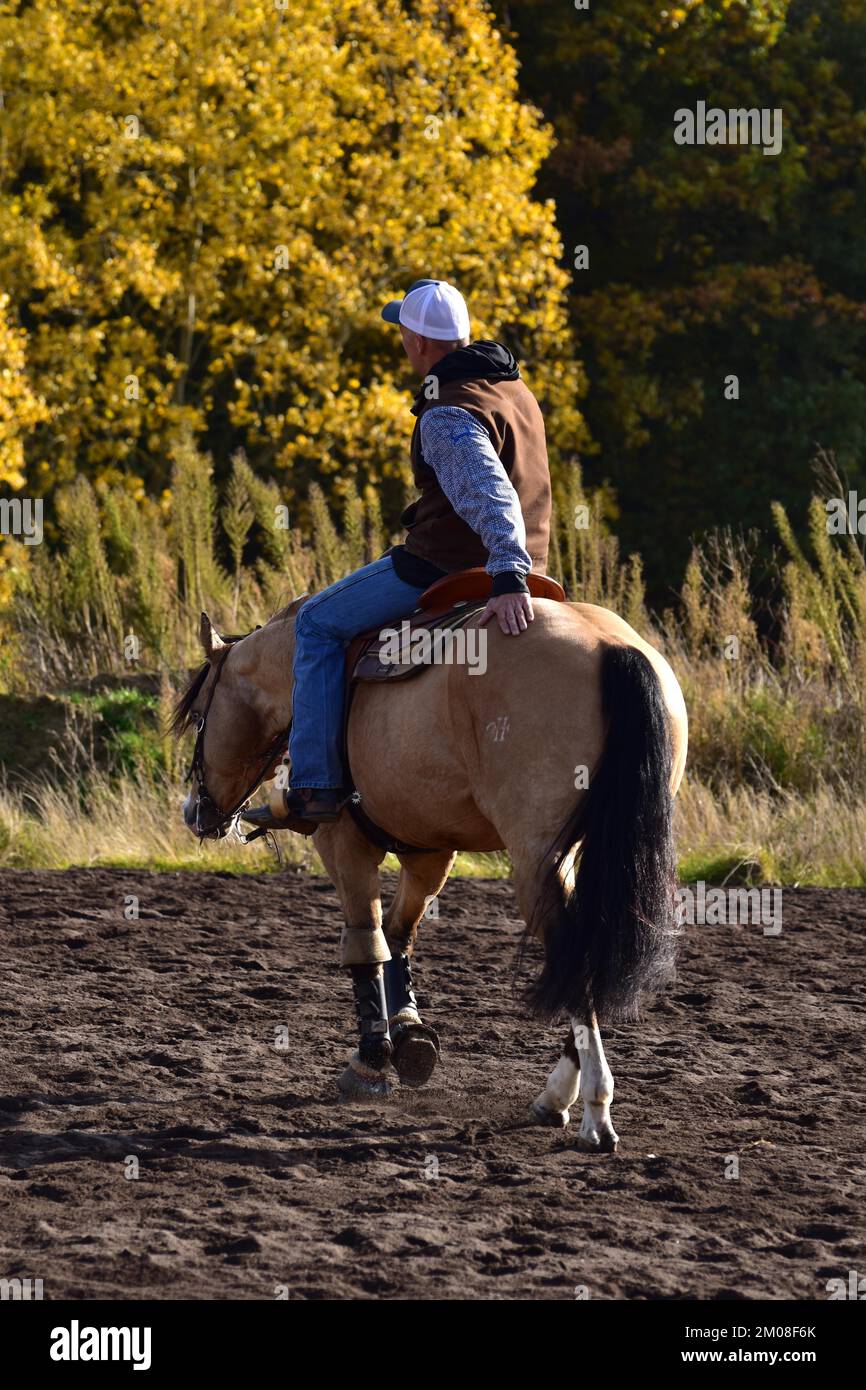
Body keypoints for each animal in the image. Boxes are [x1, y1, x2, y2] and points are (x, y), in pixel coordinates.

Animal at [172, 595, 688, 1152]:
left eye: (199, 717)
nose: (194, 811)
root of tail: (611, 647)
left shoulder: (344, 844)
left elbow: (365, 943)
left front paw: (370, 1061)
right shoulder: (430, 852)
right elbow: (399, 936)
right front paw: (408, 1032)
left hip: (535, 860)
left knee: (574, 956)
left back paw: (594, 1111)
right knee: (584, 954)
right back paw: (556, 1097)